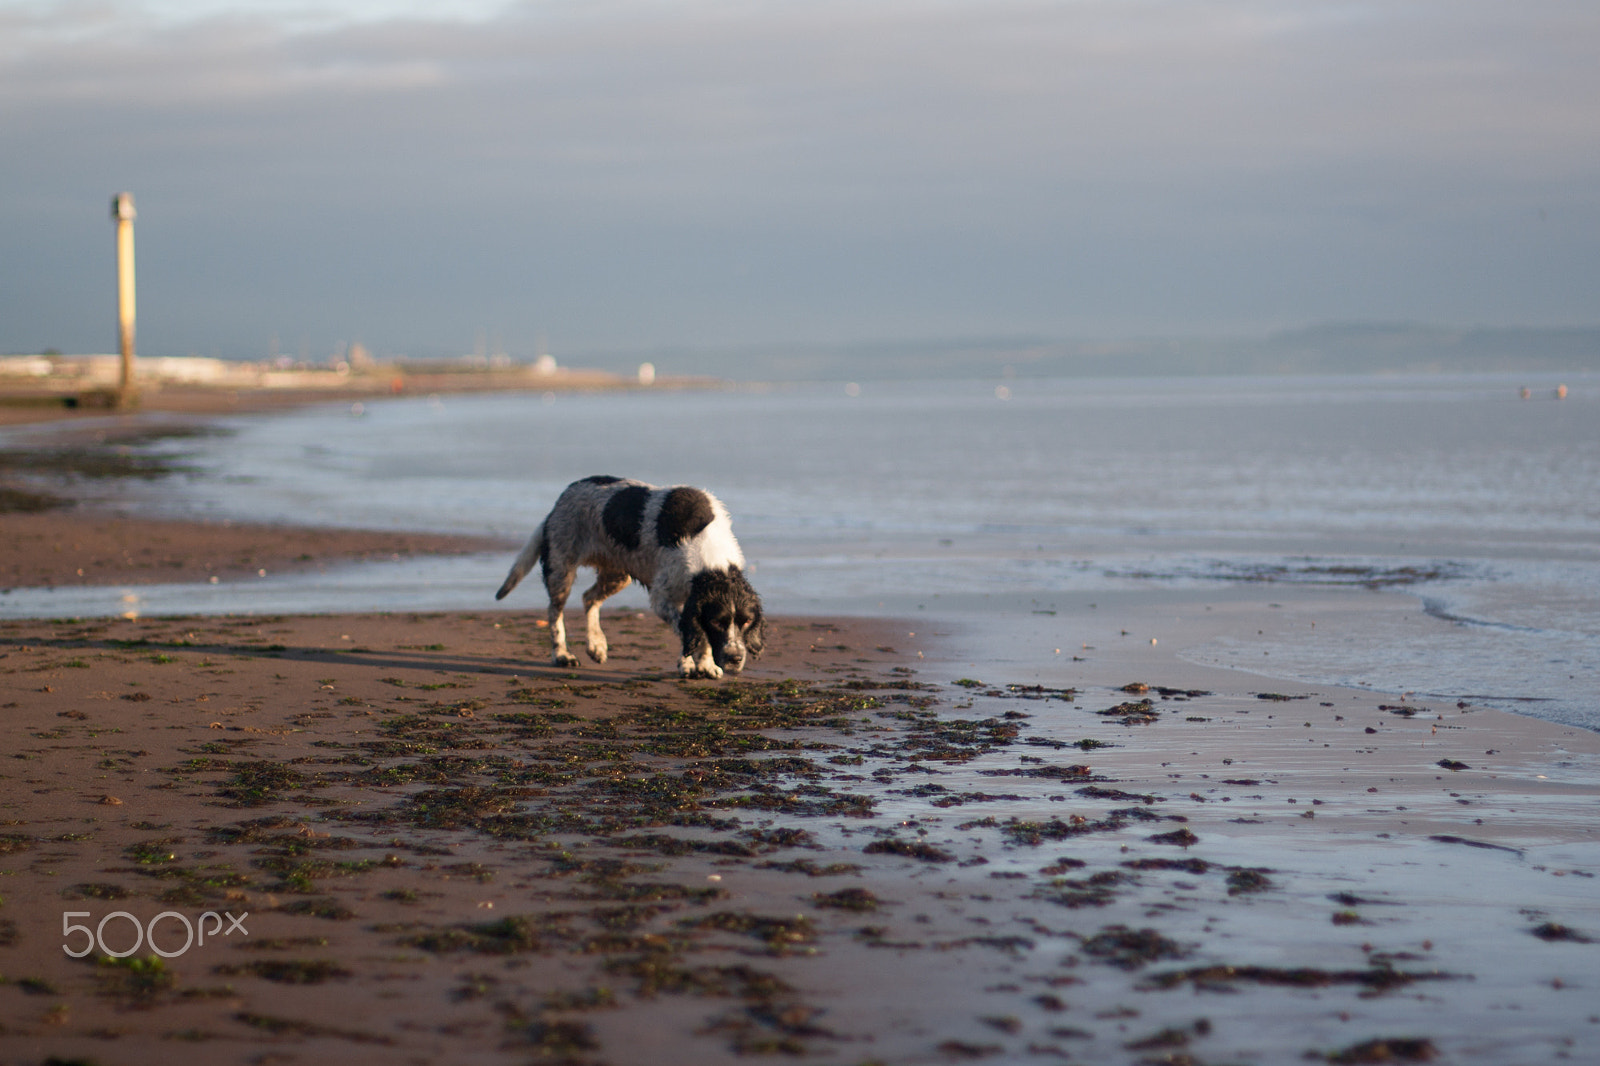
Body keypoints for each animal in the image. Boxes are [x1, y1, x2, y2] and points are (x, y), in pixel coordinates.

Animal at [496, 476, 764, 675]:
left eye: (746, 622)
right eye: (718, 622)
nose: (735, 658)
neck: (711, 559)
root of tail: (560, 500)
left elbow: (694, 630)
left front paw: (703, 664)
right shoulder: (663, 599)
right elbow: (690, 630)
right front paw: (694, 664)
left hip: (617, 575)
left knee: (589, 598)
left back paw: (596, 644)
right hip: (561, 571)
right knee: (555, 613)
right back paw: (562, 654)